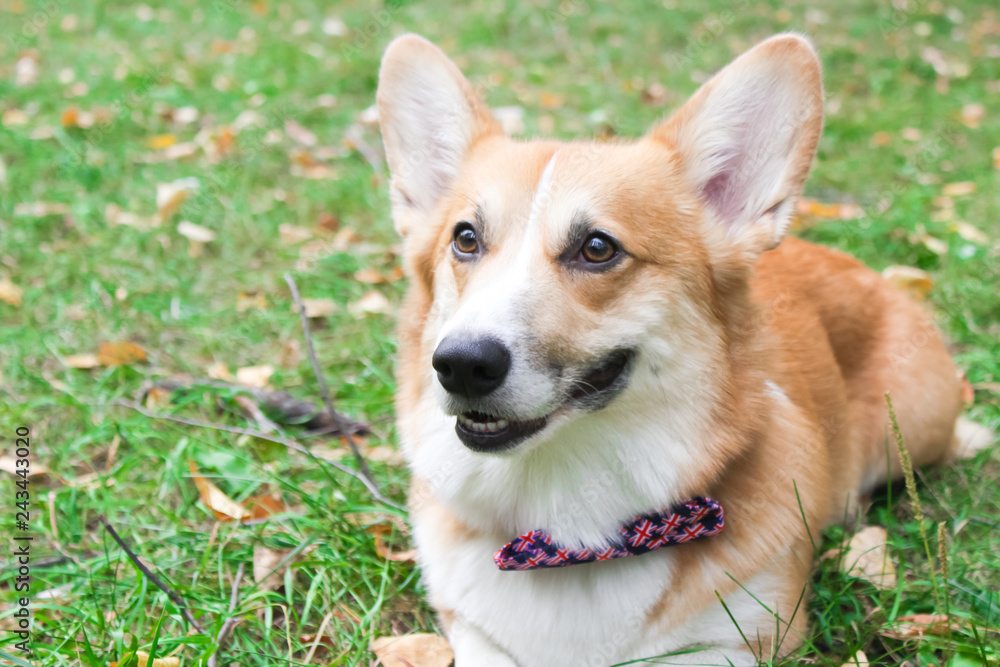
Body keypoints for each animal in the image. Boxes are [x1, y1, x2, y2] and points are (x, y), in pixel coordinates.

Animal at [376, 32, 992, 667]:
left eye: (598, 248)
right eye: (465, 239)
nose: (460, 365)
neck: (571, 524)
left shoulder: (744, 640)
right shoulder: (470, 629)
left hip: (908, 429)